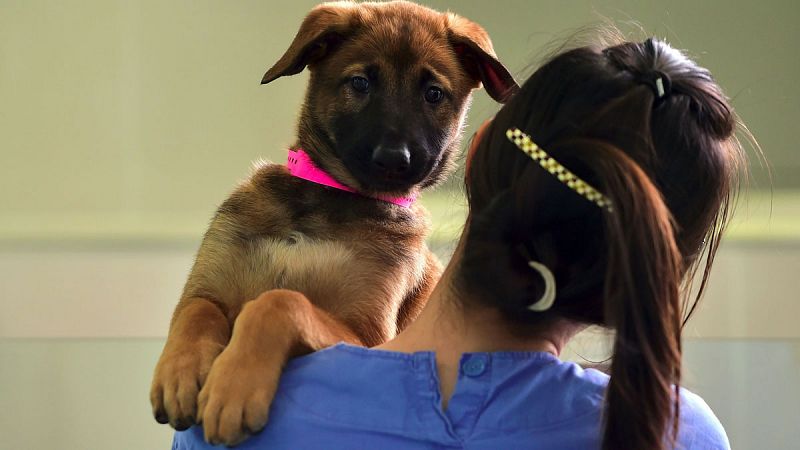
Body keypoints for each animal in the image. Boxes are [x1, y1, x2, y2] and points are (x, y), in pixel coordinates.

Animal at [148, 0, 520, 446]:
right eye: (360, 83)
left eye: (433, 94)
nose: (394, 160)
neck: (327, 203)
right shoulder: (208, 285)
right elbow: (197, 313)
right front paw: (180, 373)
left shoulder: (370, 338)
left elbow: (281, 302)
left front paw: (232, 386)